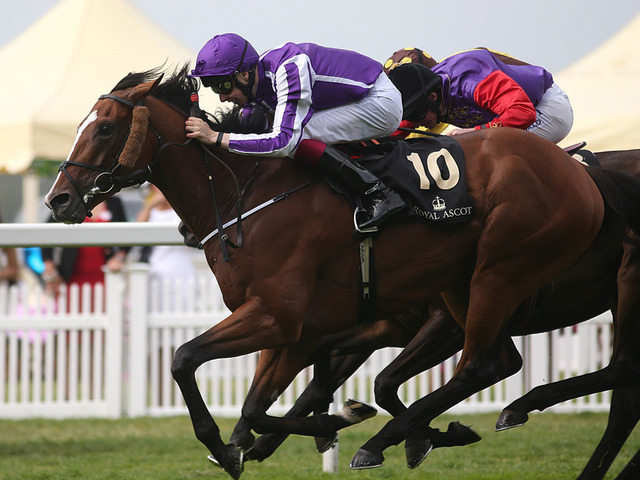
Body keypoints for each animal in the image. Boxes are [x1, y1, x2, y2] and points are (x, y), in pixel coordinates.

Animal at [45, 64, 640, 480]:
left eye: (104, 128)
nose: (58, 199)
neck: (247, 192)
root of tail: (581, 177)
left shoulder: (279, 316)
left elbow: (185, 358)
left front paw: (230, 444)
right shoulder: (297, 330)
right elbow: (262, 406)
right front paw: (320, 426)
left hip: (503, 270)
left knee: (489, 365)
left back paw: (406, 435)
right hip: (466, 286)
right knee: (513, 364)